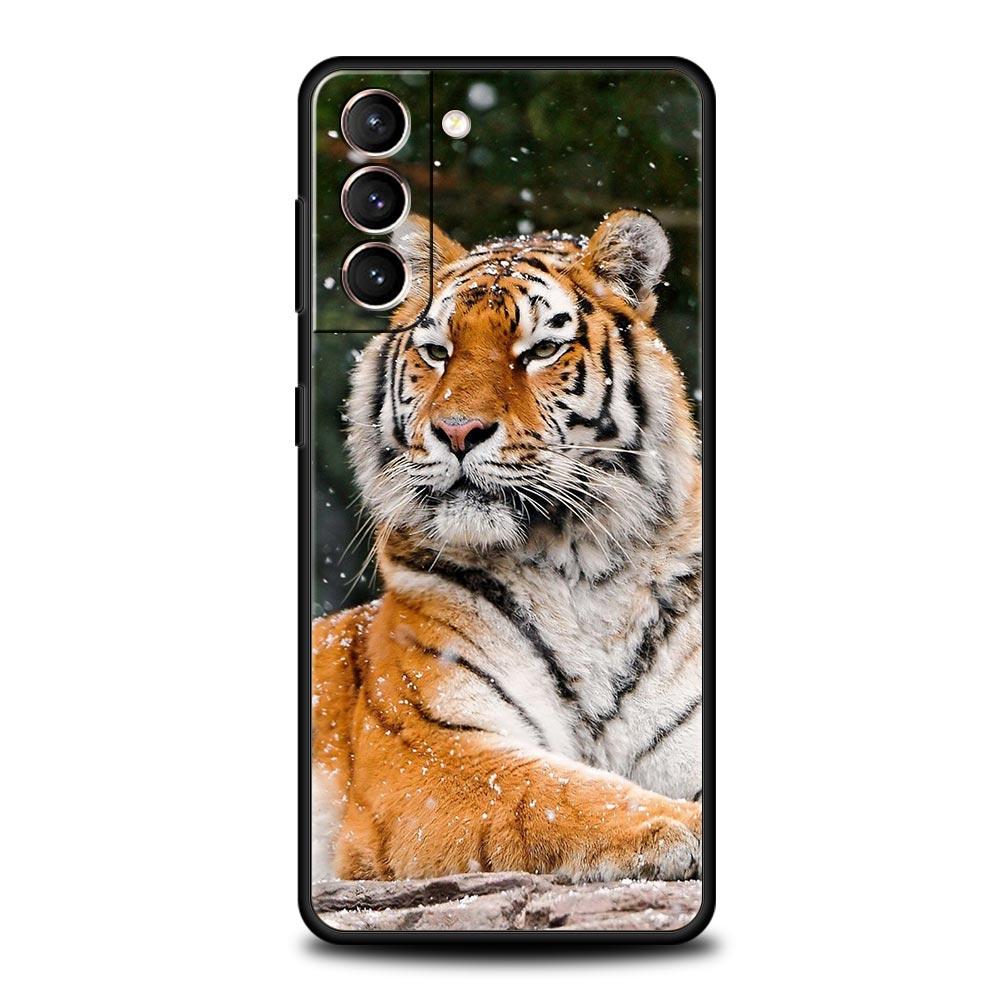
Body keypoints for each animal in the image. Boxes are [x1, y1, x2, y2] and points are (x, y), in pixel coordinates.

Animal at [312, 209, 703, 884]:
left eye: (541, 349)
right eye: (437, 352)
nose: (457, 431)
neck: (581, 571)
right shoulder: (427, 747)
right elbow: (556, 793)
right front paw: (686, 826)